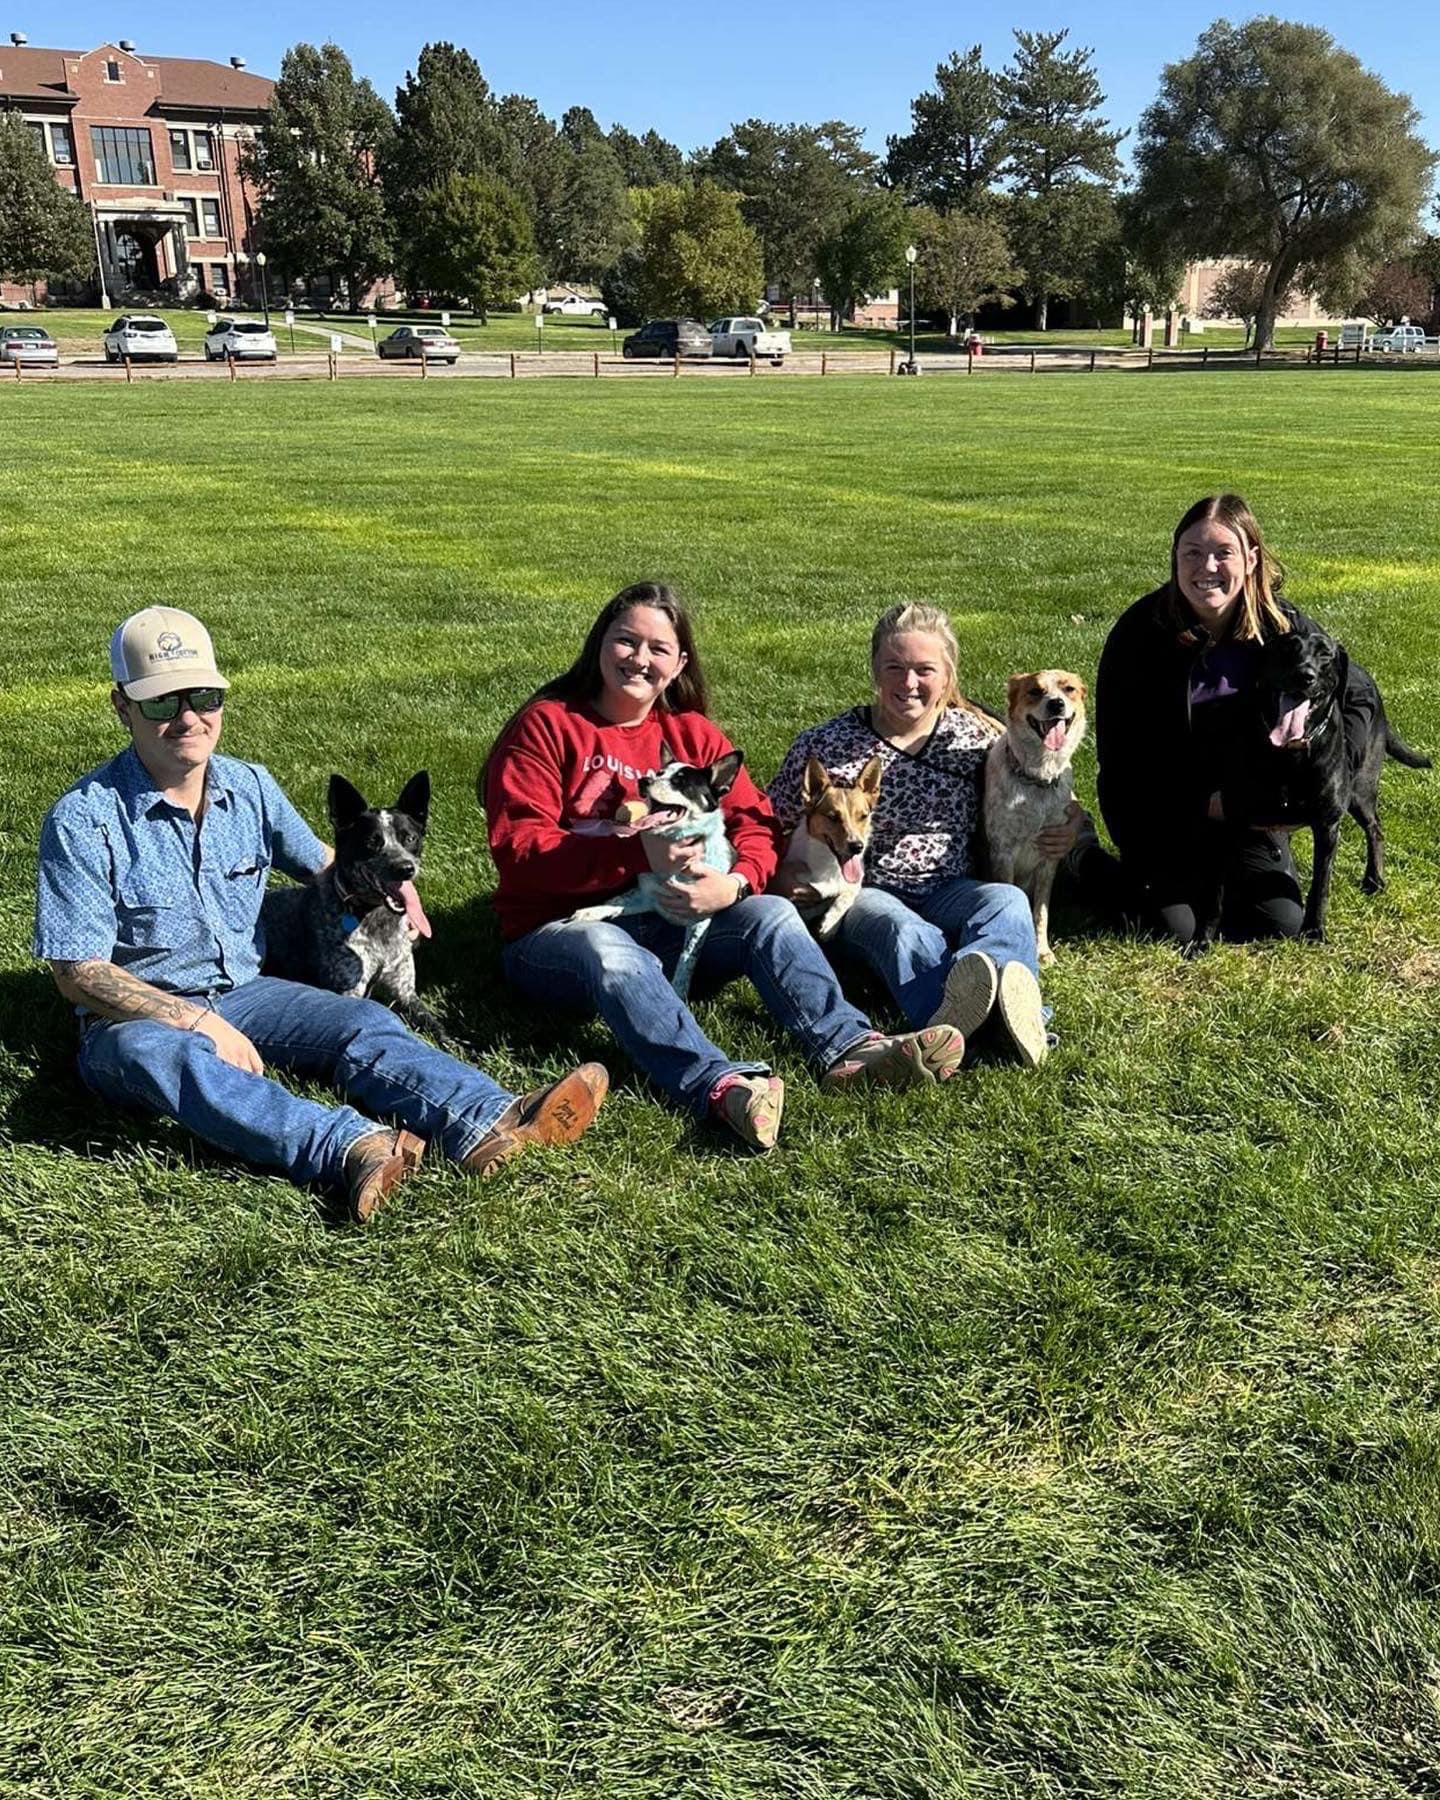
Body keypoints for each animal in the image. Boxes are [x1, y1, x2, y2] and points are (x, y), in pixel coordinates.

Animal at [259, 766, 439, 1036]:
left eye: (410, 838)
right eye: (372, 842)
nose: (405, 868)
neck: (376, 919)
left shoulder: (406, 993)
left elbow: (440, 1031)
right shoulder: (349, 991)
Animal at [781, 752, 882, 943]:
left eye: (863, 816)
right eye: (832, 817)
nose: (857, 847)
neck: (830, 863)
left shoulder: (854, 883)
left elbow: (846, 896)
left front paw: (830, 924)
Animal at [986, 669, 1087, 964]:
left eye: (1069, 689)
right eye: (1034, 691)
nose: (1056, 704)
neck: (1037, 780)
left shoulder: (1049, 858)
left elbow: (1041, 912)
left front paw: (1042, 951)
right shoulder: (1003, 851)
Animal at [1216, 630, 1425, 943]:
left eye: (1325, 654)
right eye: (1288, 648)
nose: (1305, 675)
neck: (1289, 754)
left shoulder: (1327, 825)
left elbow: (1320, 886)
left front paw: (1314, 930)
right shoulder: (1234, 820)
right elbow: (1217, 890)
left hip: (1360, 790)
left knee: (1375, 828)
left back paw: (1374, 880)